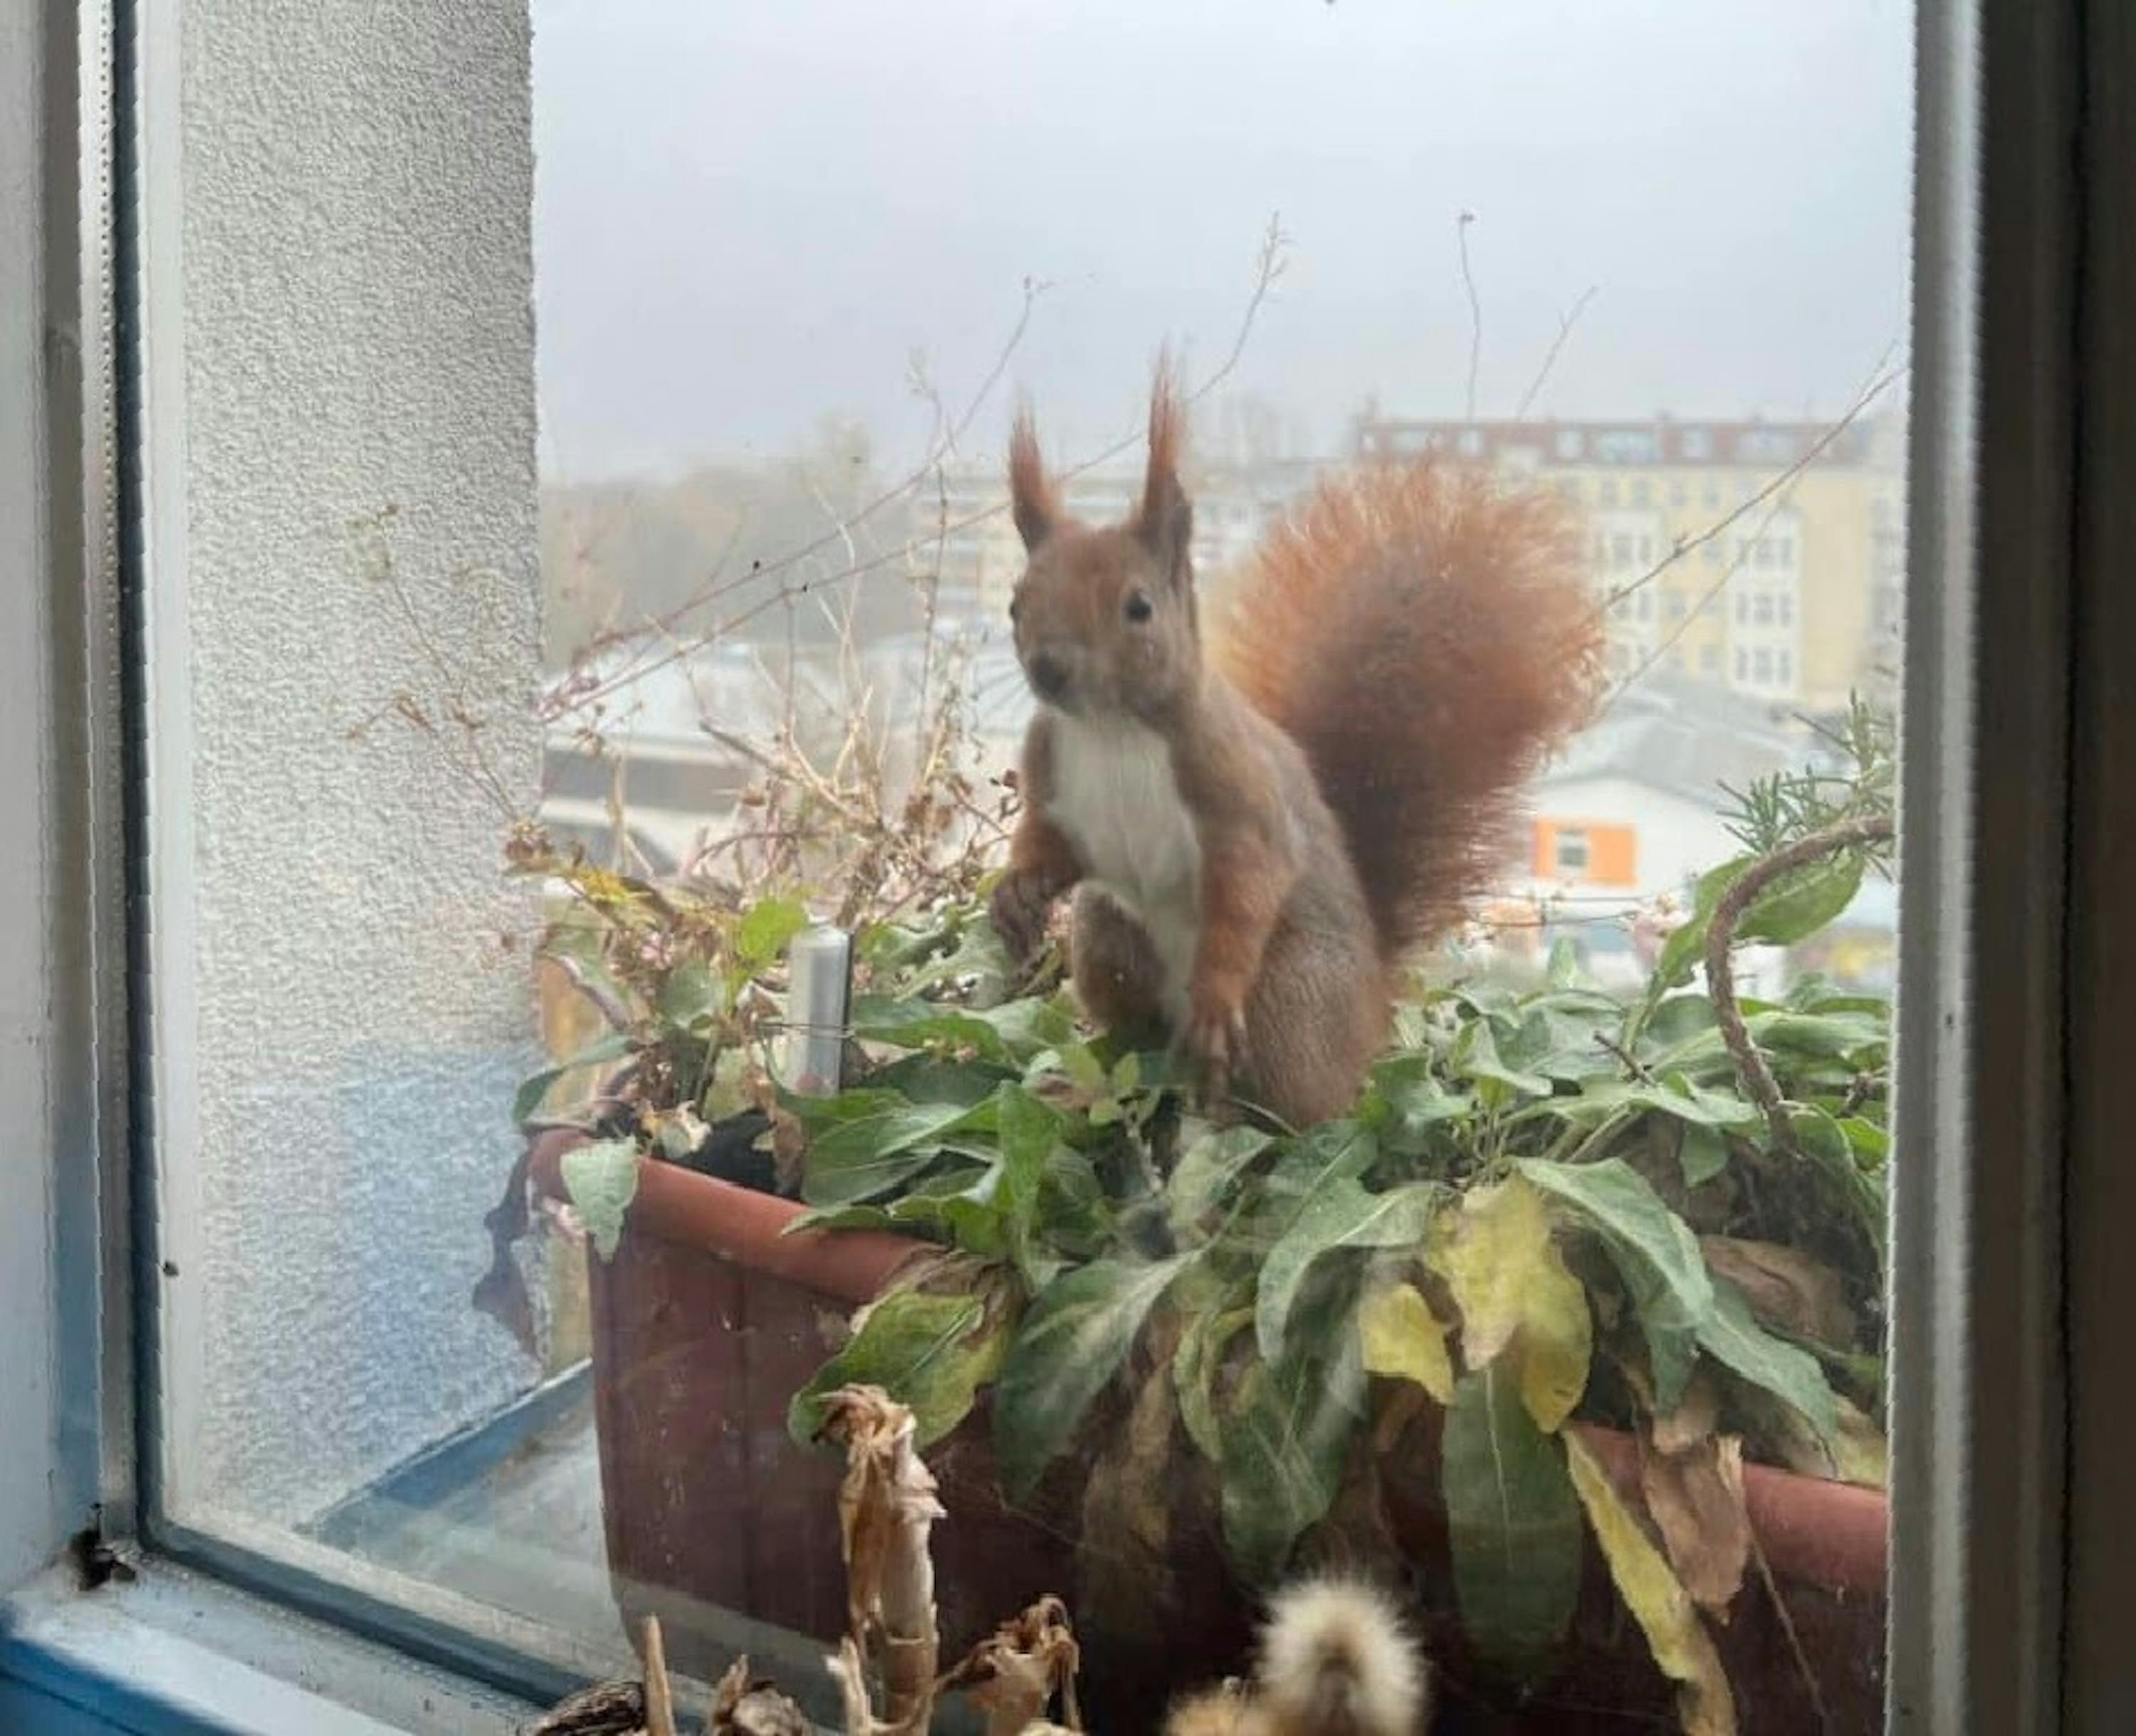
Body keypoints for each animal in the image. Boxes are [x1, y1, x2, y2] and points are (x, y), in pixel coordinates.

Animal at [989, 361, 1601, 1126]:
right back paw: (1088, 1090)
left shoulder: (1237, 793)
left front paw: (1216, 996)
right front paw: (1016, 892)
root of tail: (1368, 1013)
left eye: (1139, 607)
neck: (1114, 730)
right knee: (1131, 1042)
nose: (1048, 667)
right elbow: (1050, 844)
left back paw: (1233, 1111)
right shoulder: (1053, 778)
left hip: (1287, 993)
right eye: (1015, 603)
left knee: (1298, 1107)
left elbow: (1248, 886)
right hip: (1107, 939)